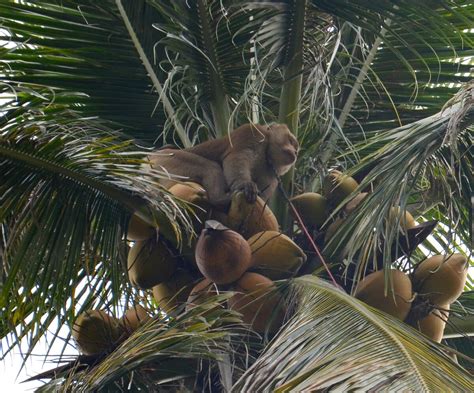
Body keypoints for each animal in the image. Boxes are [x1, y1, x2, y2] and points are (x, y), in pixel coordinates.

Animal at [148, 122, 298, 205]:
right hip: (168, 160)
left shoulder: (272, 174)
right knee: (211, 167)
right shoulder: (252, 133)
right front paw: (244, 184)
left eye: (296, 146)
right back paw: (219, 199)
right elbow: (235, 158)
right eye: (290, 140)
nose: (296, 152)